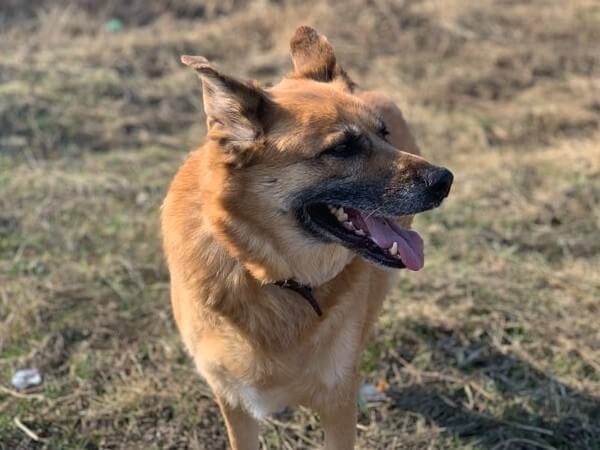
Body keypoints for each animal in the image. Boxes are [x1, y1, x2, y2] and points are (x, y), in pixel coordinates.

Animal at [162, 27, 452, 450]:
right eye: (343, 148)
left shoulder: (337, 407)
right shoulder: (233, 401)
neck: (270, 275)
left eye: (384, 134)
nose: (445, 180)